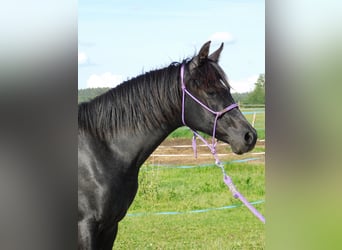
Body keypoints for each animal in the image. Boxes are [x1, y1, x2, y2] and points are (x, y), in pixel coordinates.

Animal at [77, 41, 256, 248]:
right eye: (211, 92)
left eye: (227, 89)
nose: (249, 136)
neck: (103, 151)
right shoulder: (85, 227)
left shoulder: (110, 227)